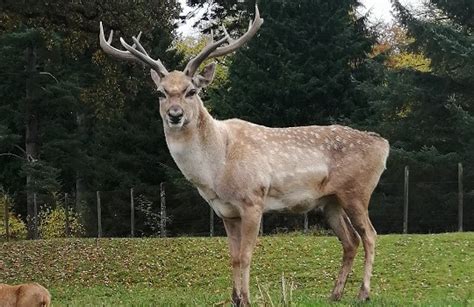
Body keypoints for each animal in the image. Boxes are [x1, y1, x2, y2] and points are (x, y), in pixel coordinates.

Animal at [99, 6, 388, 306]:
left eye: (192, 90)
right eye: (160, 92)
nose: (175, 115)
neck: (216, 171)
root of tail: (383, 144)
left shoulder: (252, 200)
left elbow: (247, 255)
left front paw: (247, 299)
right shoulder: (225, 211)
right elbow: (234, 257)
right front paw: (235, 298)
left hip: (357, 190)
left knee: (370, 235)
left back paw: (363, 293)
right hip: (330, 201)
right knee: (350, 240)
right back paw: (335, 293)